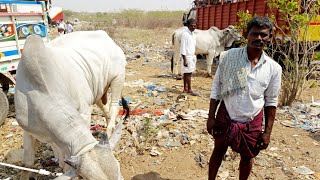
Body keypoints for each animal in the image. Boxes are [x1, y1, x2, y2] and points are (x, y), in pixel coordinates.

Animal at [13, 30, 129, 179]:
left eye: (120, 174)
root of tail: (105, 35)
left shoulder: (84, 112)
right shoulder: (28, 128)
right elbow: (27, 162)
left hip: (118, 78)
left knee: (114, 106)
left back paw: (110, 131)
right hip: (98, 91)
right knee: (106, 109)